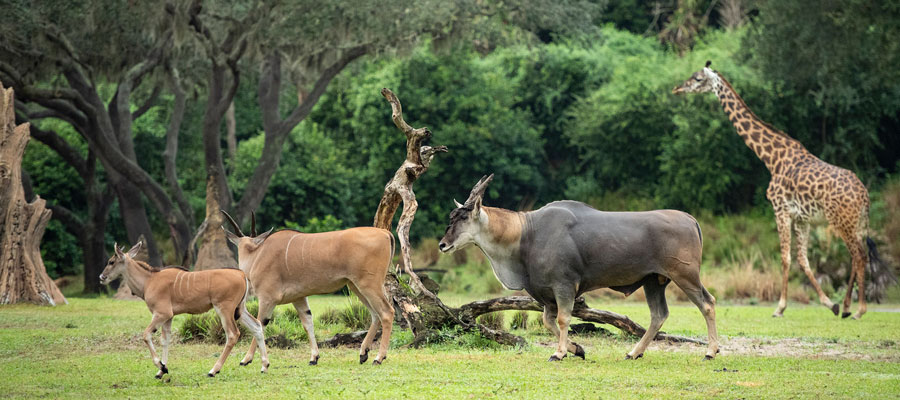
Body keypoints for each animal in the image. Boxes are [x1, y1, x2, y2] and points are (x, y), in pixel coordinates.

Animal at [99, 241, 268, 378]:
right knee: (257, 326)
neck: (149, 280)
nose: (101, 277)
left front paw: (161, 366)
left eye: (111, 261)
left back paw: (213, 370)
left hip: (224, 309)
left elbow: (146, 335)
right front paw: (161, 371)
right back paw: (264, 366)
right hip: (240, 309)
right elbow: (165, 340)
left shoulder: (162, 313)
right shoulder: (169, 317)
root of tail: (241, 274)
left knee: (233, 335)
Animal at [220, 212, 396, 366]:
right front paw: (314, 358)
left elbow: (259, 325)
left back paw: (378, 358)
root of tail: (385, 233)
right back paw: (363, 353)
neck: (257, 254)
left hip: (368, 285)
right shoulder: (299, 298)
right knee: (375, 315)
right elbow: (308, 323)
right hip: (356, 286)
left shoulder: (267, 298)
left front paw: (246, 359)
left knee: (387, 312)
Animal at [440, 175, 720, 360]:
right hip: (654, 281)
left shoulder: (563, 286)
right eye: (452, 217)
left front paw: (560, 353)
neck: (526, 232)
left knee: (707, 303)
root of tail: (690, 219)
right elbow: (548, 322)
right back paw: (634, 352)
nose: (442, 245)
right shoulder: (548, 294)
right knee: (658, 315)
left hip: (685, 275)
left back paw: (711, 351)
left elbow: (563, 319)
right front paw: (576, 348)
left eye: (463, 217)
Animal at [672, 61, 876, 320]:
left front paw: (780, 307)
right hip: (858, 223)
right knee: (859, 255)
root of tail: (864, 195)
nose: (678, 88)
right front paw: (831, 304)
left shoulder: (781, 209)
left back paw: (859, 310)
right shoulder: (802, 219)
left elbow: (786, 258)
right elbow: (803, 259)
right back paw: (849, 307)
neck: (771, 158)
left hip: (841, 221)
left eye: (698, 78)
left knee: (858, 255)